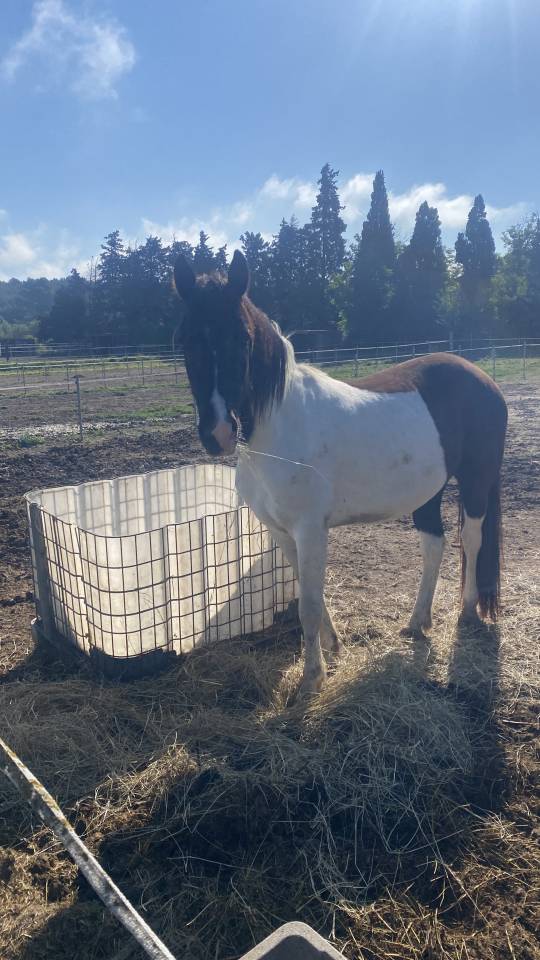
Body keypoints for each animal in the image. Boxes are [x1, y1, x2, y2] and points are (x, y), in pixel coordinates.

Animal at [173, 250, 508, 695]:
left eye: (242, 338)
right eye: (185, 339)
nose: (217, 434)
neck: (278, 425)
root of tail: (483, 380)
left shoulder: (310, 529)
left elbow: (310, 606)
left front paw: (312, 678)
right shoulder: (281, 531)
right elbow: (306, 593)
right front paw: (333, 647)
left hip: (475, 481)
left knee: (471, 540)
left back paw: (466, 611)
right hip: (428, 491)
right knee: (433, 545)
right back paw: (417, 622)